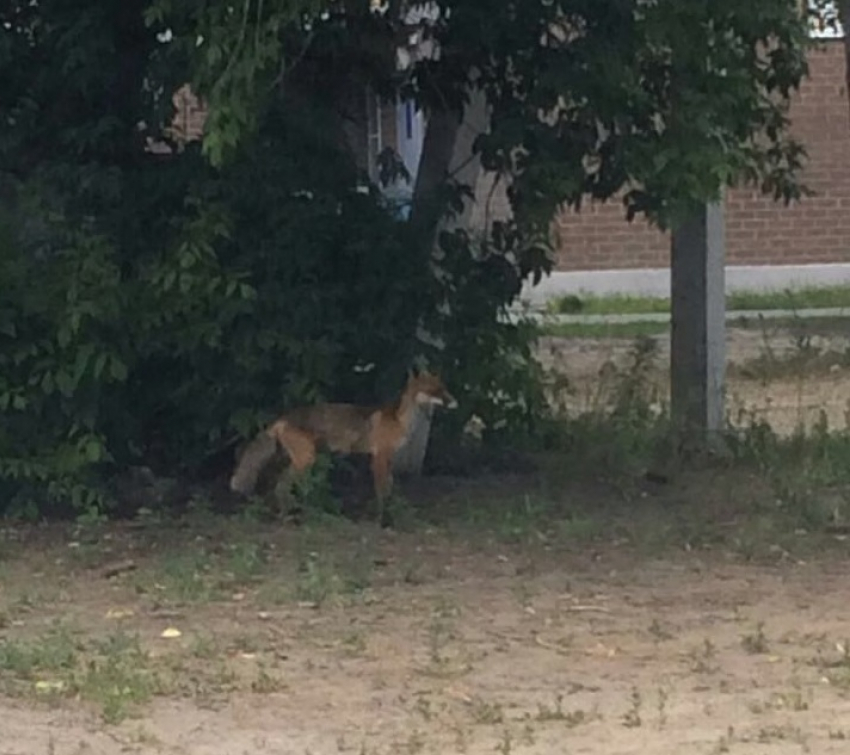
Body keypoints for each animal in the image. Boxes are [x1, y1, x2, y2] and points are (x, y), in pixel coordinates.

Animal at [229, 372, 458, 502]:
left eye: (444, 388)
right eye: (435, 391)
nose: (455, 402)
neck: (401, 421)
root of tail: (282, 417)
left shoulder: (389, 458)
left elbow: (390, 488)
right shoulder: (379, 457)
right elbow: (382, 492)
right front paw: (383, 519)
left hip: (289, 457)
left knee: (278, 485)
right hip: (306, 458)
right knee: (281, 487)